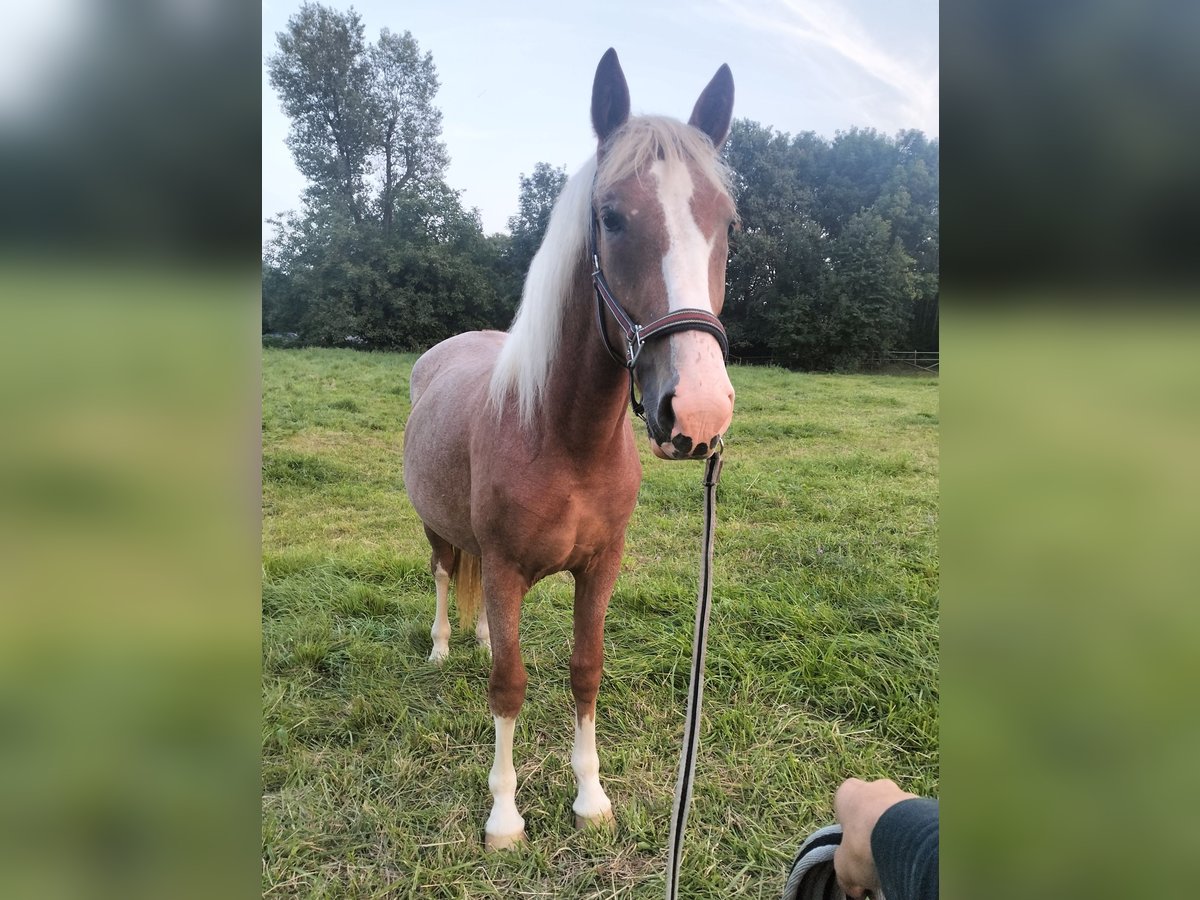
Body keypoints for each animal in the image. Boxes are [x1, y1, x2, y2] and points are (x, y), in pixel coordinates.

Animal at [403, 49, 734, 854]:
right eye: (611, 216)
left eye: (728, 223)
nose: (698, 410)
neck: (564, 439)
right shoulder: (506, 567)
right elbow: (511, 685)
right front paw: (504, 816)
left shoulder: (600, 566)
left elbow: (584, 670)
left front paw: (590, 798)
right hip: (437, 529)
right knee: (442, 574)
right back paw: (441, 646)